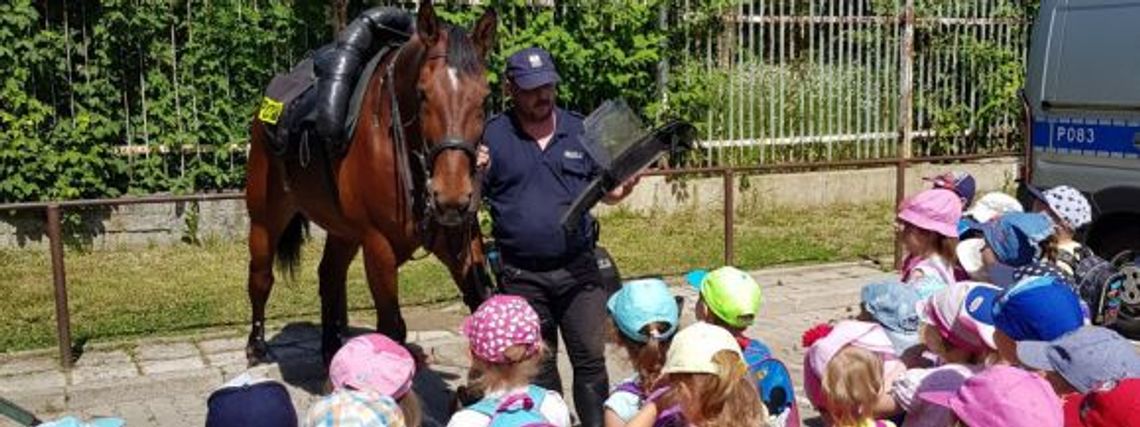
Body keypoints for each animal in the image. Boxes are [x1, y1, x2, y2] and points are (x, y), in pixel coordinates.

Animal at [245, 1, 494, 366]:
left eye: (485, 98)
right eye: (422, 94)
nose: (451, 196)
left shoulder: (458, 239)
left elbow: (483, 302)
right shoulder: (378, 245)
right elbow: (391, 328)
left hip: (343, 230)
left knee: (329, 275)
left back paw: (331, 347)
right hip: (266, 217)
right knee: (261, 277)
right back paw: (257, 346)